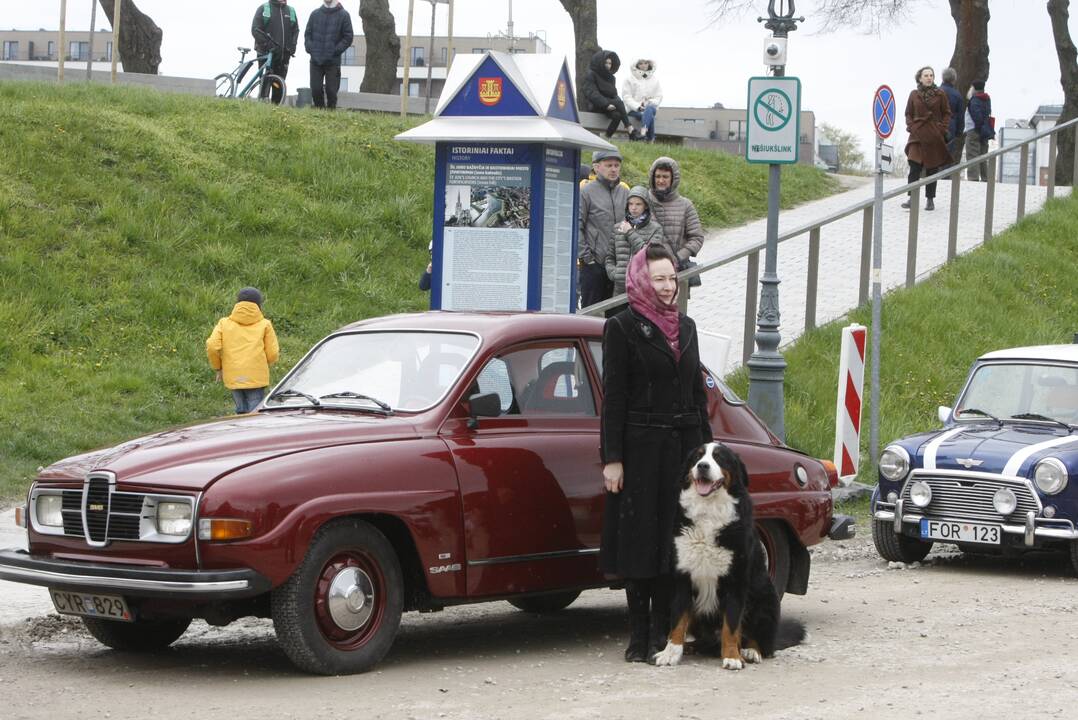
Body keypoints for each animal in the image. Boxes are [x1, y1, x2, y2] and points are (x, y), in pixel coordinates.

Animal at [646, 441, 810, 668]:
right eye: (697, 457)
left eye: (719, 458)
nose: (702, 466)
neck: (708, 513)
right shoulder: (682, 578)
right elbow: (678, 622)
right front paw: (671, 653)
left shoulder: (735, 582)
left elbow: (731, 626)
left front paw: (732, 656)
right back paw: (691, 647)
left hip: (765, 598)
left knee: (762, 641)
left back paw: (750, 651)